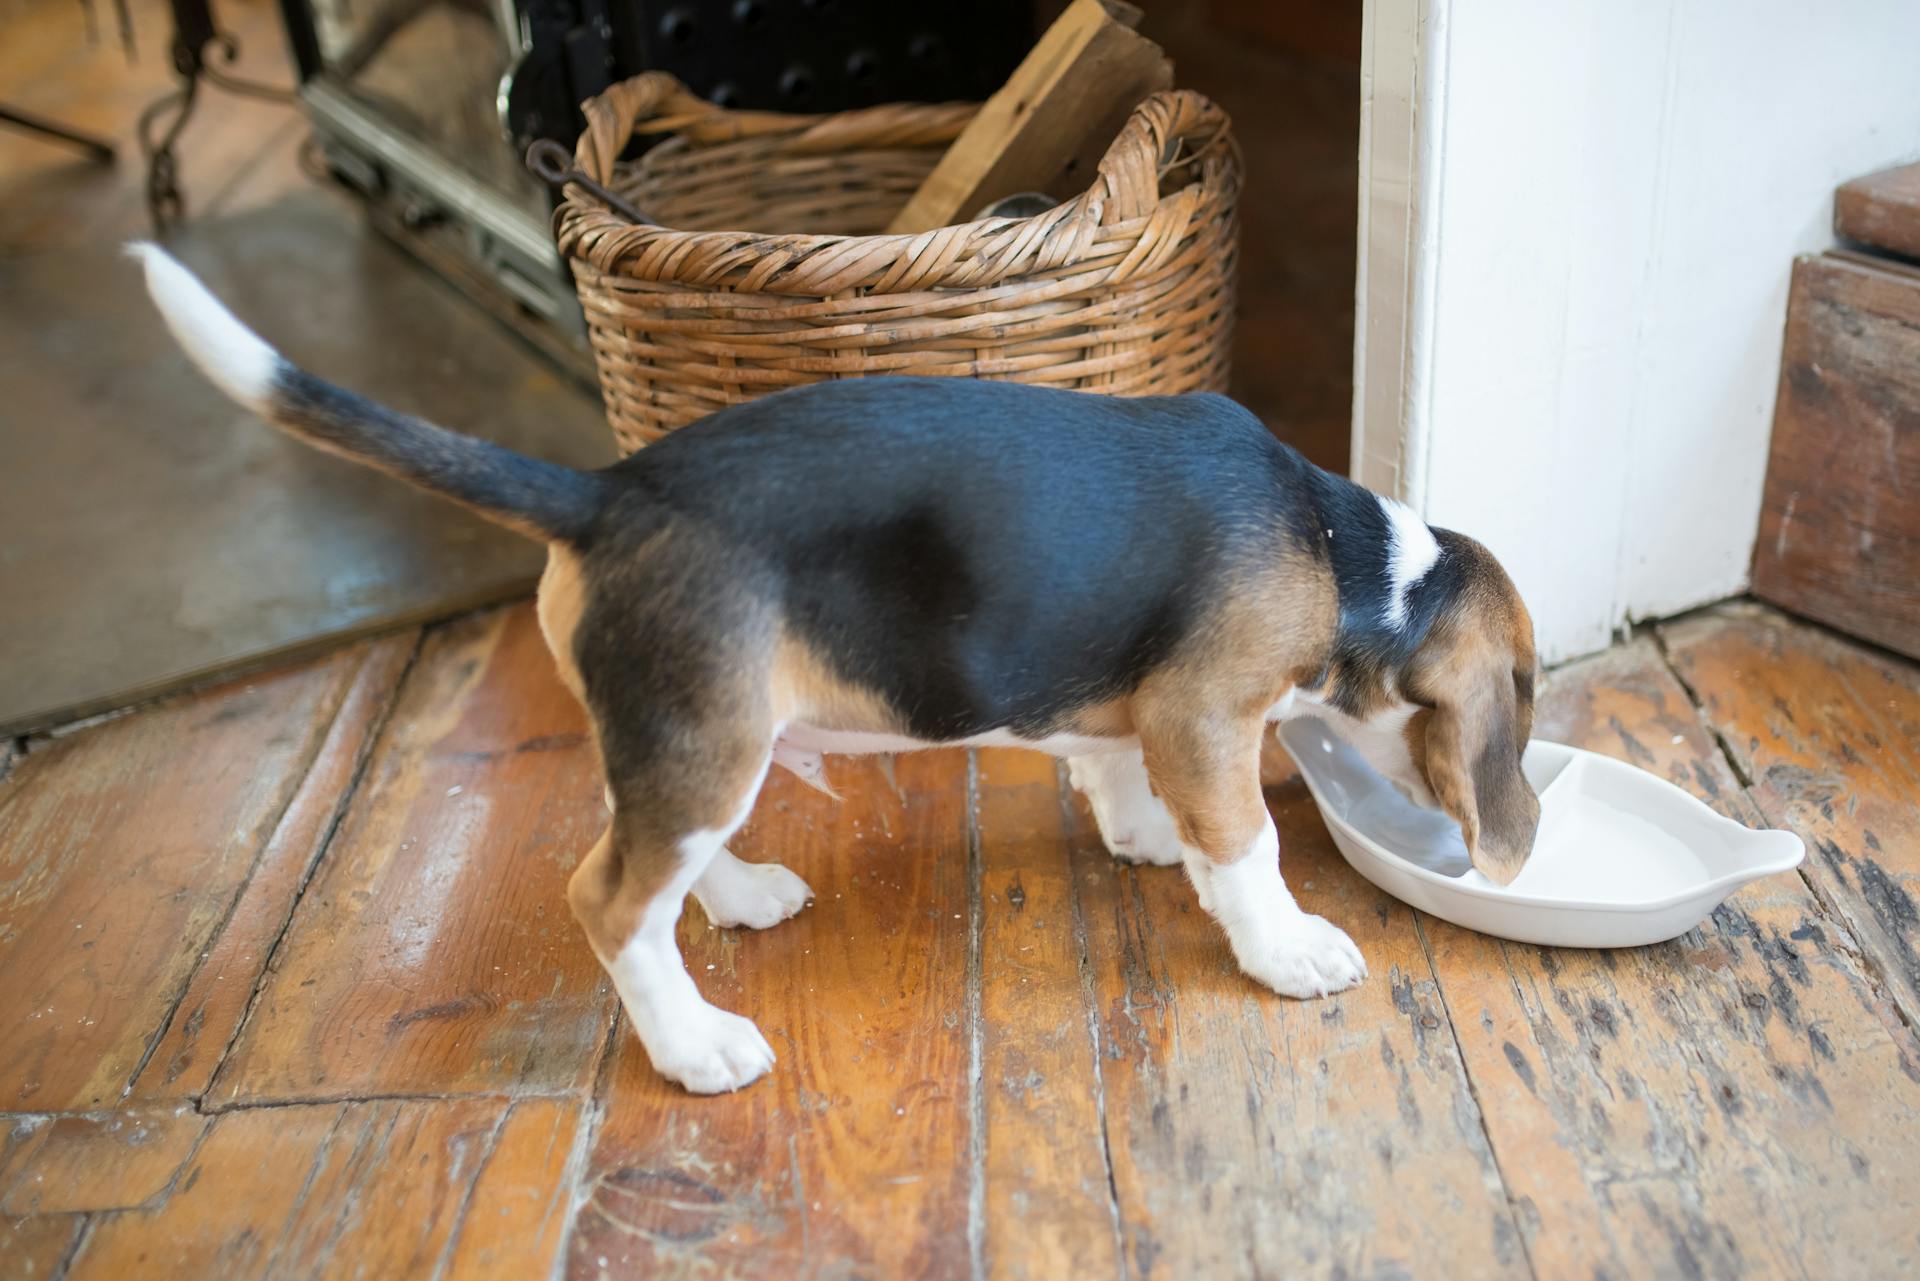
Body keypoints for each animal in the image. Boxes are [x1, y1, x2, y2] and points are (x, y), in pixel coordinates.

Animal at [135, 245, 1536, 1098]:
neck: (1354, 559)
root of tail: (605, 492)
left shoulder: (1138, 704)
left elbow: (1112, 763)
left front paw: (1142, 831)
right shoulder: (1206, 711)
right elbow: (1246, 843)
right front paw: (1284, 944)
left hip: (687, 738)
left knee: (643, 848)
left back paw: (740, 894)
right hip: (708, 740)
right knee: (608, 899)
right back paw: (694, 1045)